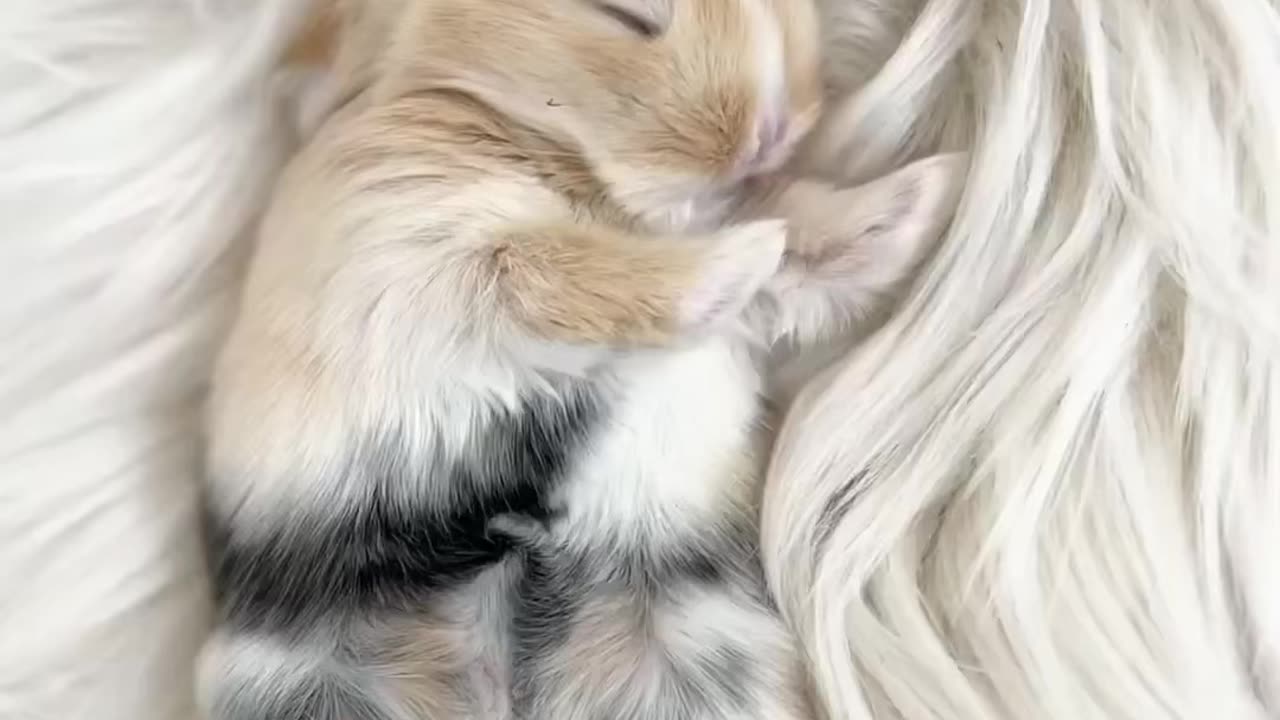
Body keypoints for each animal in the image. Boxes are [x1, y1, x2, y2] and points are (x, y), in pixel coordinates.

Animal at [197, 1, 966, 719]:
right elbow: (563, 273)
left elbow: (802, 253)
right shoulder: (422, 256)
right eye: (629, 16)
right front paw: (744, 252)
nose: (769, 131)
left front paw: (925, 194)